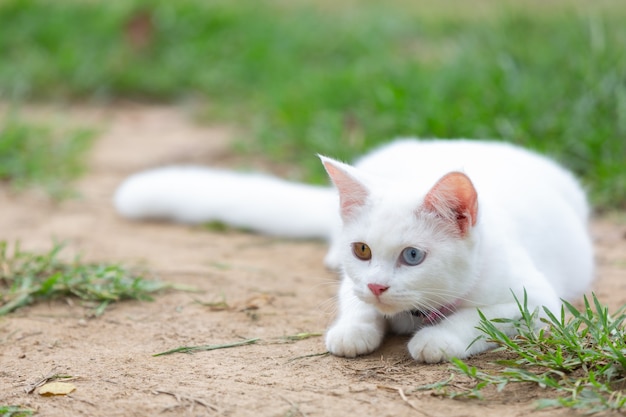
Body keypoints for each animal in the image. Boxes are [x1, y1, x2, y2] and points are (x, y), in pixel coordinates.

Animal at [114, 140, 592, 360]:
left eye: (412, 256)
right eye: (362, 250)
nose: (379, 285)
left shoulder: (536, 302)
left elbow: (478, 315)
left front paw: (438, 338)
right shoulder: (352, 281)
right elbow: (354, 300)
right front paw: (354, 329)